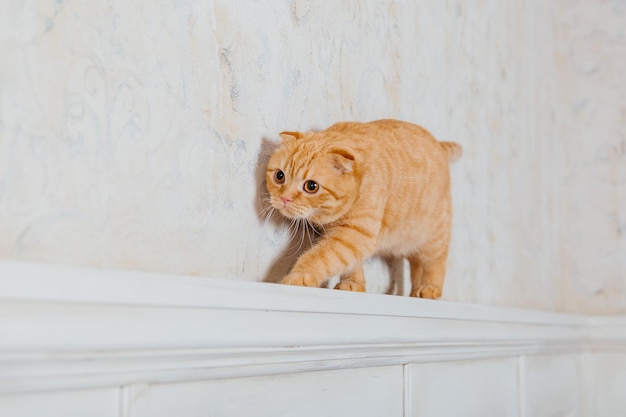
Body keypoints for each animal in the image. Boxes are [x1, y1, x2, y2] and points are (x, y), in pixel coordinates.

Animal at [264, 118, 458, 298]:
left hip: (434, 237)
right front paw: (352, 284)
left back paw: (429, 289)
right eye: (279, 176)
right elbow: (350, 264)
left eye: (311, 186)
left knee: (435, 263)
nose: (285, 198)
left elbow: (320, 256)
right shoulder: (346, 237)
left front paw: (299, 275)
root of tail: (439, 144)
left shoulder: (355, 234)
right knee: (417, 265)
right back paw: (415, 291)